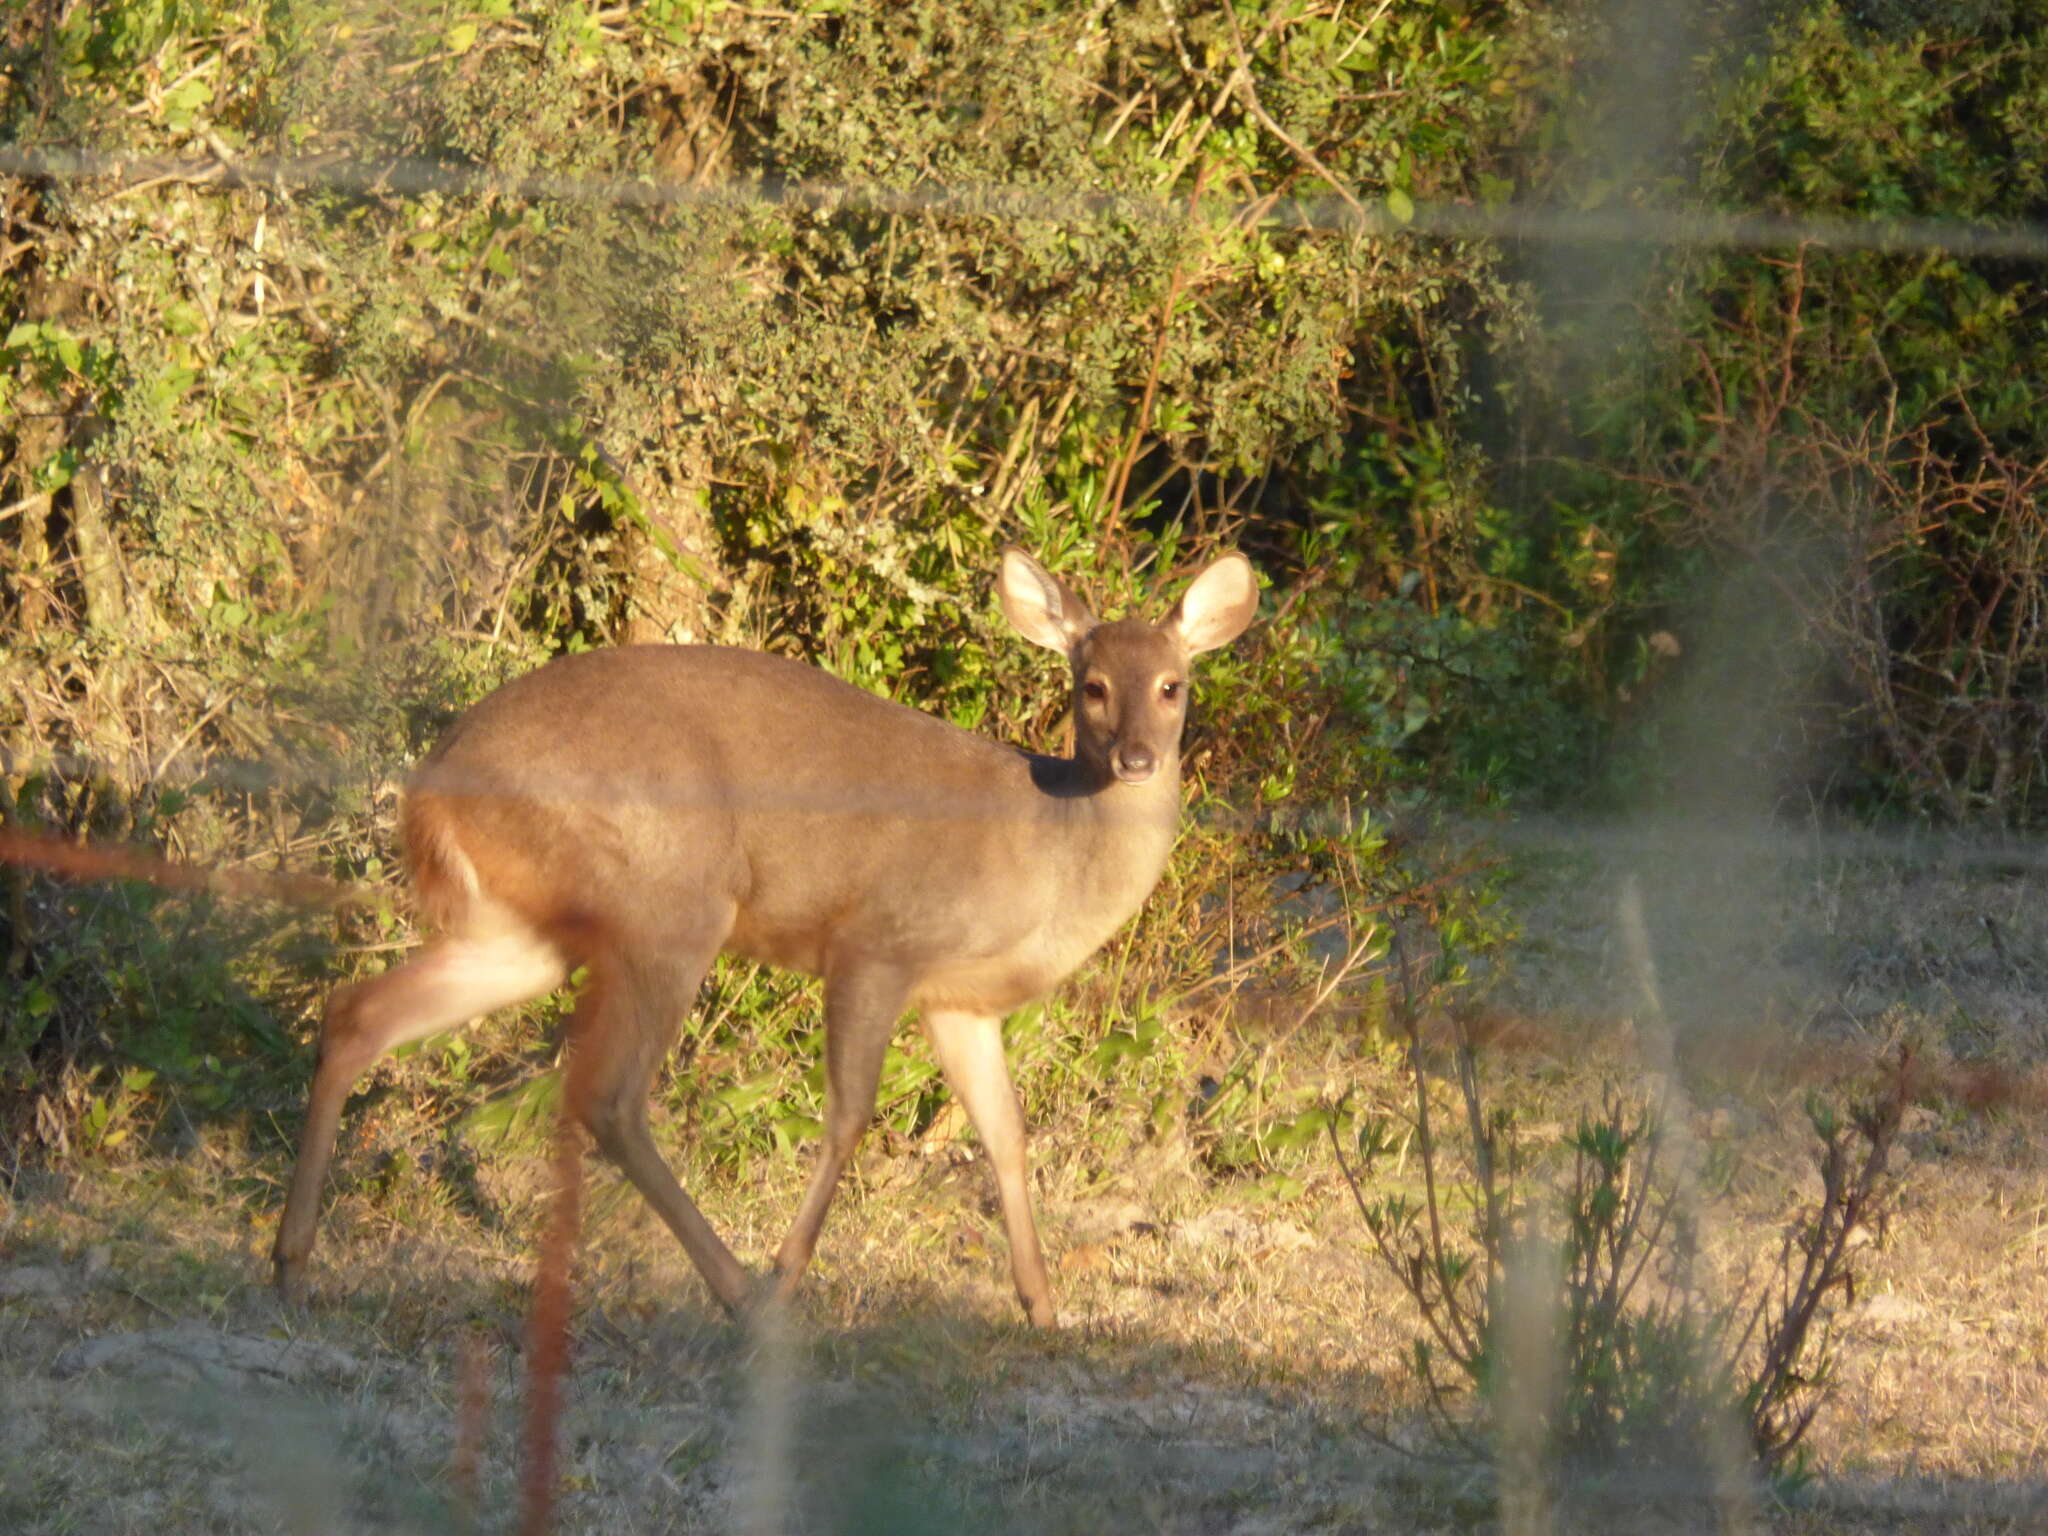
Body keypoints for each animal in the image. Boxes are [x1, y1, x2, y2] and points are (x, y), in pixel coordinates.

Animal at [272, 548, 1253, 1327]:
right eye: (1093, 686)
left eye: (1173, 686)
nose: (1135, 758)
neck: (1047, 846)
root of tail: (431, 788)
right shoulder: (877, 941)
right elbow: (849, 1115)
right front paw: (789, 1271)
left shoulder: (960, 1003)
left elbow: (1007, 1135)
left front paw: (1043, 1306)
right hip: (672, 900)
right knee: (608, 1096)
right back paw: (741, 1291)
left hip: (522, 932)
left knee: (358, 1012)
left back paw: (292, 1256)